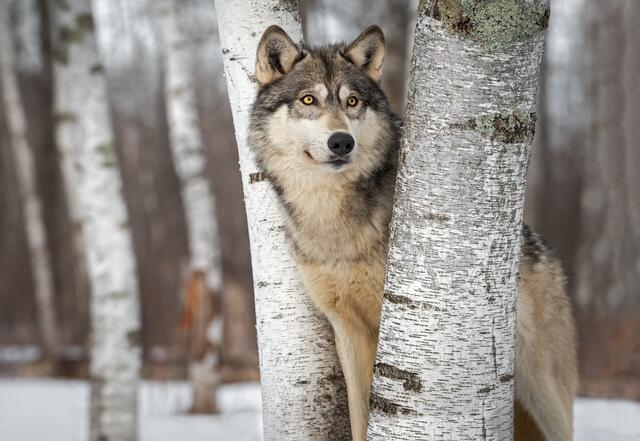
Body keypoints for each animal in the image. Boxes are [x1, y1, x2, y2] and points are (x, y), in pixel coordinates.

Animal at [249, 25, 578, 441]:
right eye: (308, 99)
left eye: (352, 101)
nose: (341, 142)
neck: (332, 219)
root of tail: (543, 247)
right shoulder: (347, 331)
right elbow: (359, 418)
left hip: (545, 394)